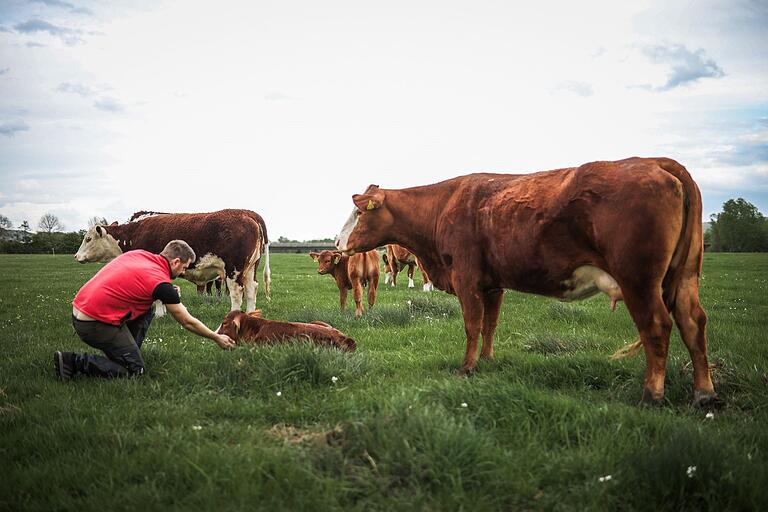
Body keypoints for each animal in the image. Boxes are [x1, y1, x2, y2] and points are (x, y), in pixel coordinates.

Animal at [75, 208, 272, 312]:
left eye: (88, 239)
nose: (76, 256)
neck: (133, 232)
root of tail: (247, 213)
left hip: (234, 269)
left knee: (237, 292)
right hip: (251, 268)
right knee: (252, 289)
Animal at [334, 158, 712, 406]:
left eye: (358, 212)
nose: (336, 242)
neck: (444, 205)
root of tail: (655, 162)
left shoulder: (467, 279)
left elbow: (472, 325)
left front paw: (467, 367)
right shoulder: (492, 284)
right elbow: (490, 325)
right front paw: (487, 361)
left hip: (639, 281)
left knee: (657, 326)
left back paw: (653, 393)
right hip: (684, 277)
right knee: (692, 321)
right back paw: (704, 393)